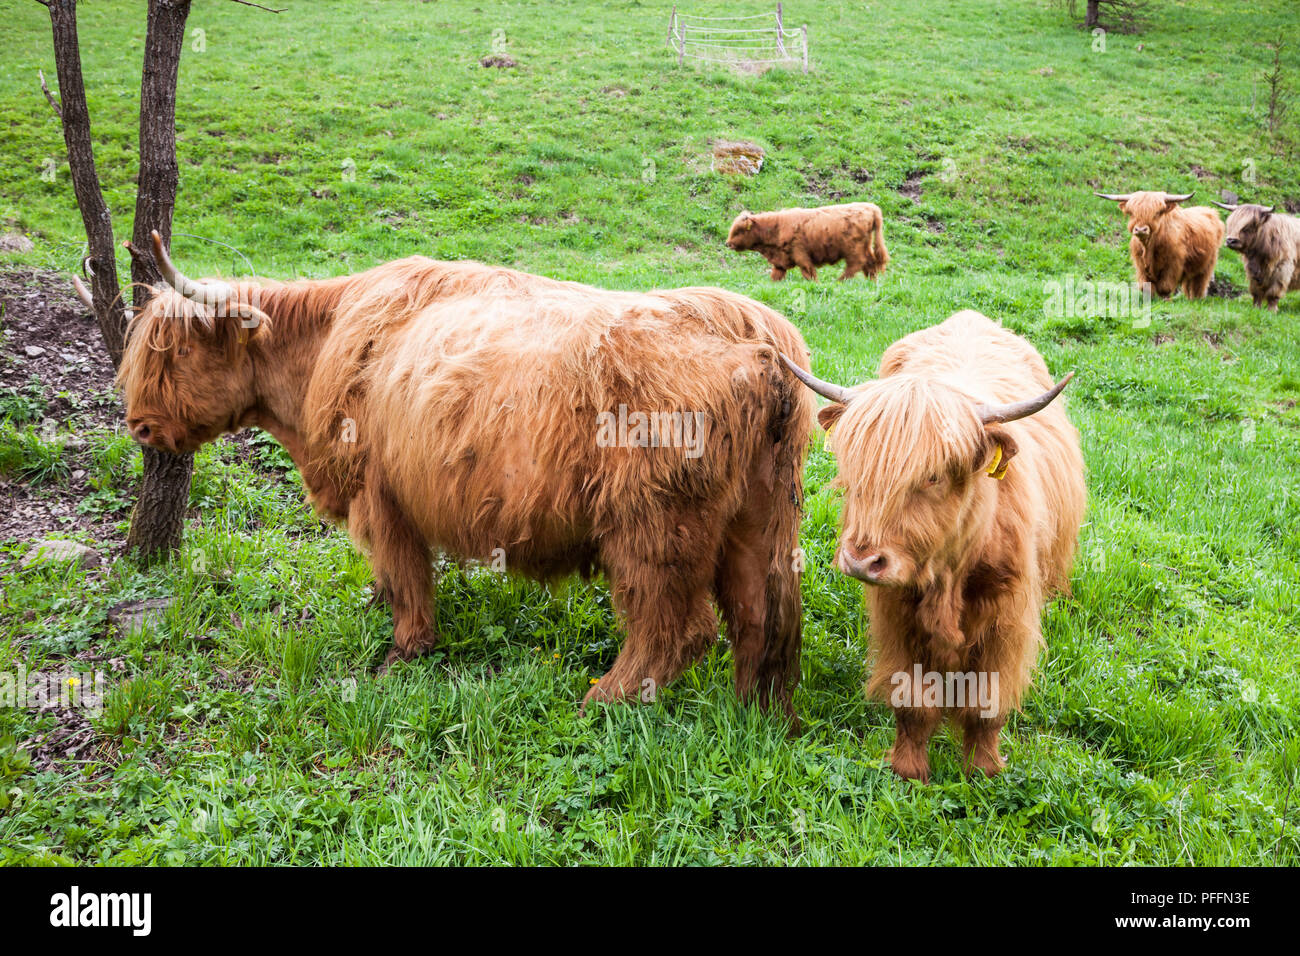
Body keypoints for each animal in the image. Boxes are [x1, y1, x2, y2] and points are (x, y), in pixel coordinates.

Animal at [101, 233, 816, 718]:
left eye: (174, 349)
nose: (139, 425)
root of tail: (759, 343)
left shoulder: (380, 495)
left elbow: (407, 578)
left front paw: (402, 653)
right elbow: (393, 577)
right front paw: (380, 611)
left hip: (652, 521)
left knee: (675, 625)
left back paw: (604, 698)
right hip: (762, 512)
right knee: (764, 613)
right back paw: (757, 714)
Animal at [725, 203, 889, 282]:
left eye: (738, 231)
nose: (728, 243)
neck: (776, 227)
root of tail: (871, 207)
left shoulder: (800, 254)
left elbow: (808, 272)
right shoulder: (780, 262)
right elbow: (776, 275)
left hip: (853, 249)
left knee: (856, 264)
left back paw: (839, 281)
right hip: (865, 247)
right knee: (869, 263)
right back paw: (871, 282)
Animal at [782, 310, 1085, 781]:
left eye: (933, 476)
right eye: (854, 472)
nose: (861, 561)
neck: (949, 573)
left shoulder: (1007, 620)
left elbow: (985, 703)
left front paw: (982, 771)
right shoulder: (897, 615)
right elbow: (914, 703)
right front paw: (909, 772)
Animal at [1095, 190, 1223, 299]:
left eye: (1156, 213)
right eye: (1132, 213)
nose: (1140, 229)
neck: (1149, 247)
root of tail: (1210, 211)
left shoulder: (1173, 264)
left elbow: (1165, 286)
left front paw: (1164, 299)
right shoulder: (1140, 264)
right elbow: (1146, 286)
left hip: (1207, 265)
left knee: (1199, 285)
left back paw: (1196, 300)